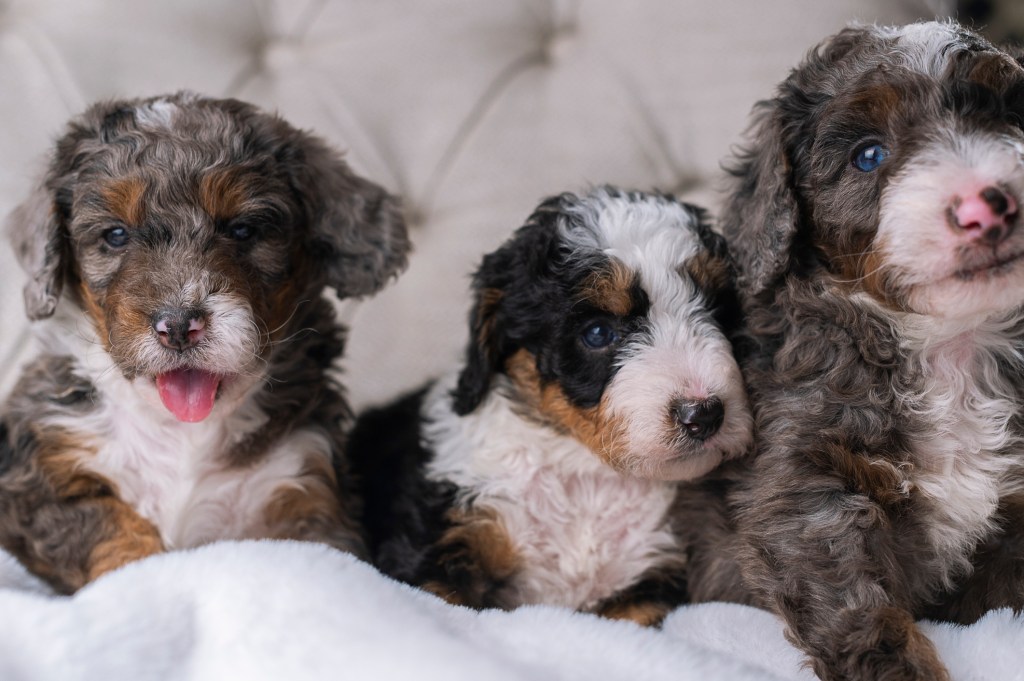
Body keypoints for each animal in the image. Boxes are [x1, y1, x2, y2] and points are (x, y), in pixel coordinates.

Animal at [0, 93, 407, 593]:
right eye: (115, 235)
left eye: (243, 230)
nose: (178, 325)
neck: (182, 431)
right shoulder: (34, 480)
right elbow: (108, 526)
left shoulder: (308, 489)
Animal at [348, 186, 757, 622]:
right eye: (598, 333)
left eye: (718, 313)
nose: (704, 414)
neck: (585, 475)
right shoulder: (438, 550)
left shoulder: (647, 583)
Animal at [724, 19, 1024, 679]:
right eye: (868, 156)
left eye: (1004, 118)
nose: (985, 205)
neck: (948, 345)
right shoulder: (806, 487)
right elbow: (853, 606)